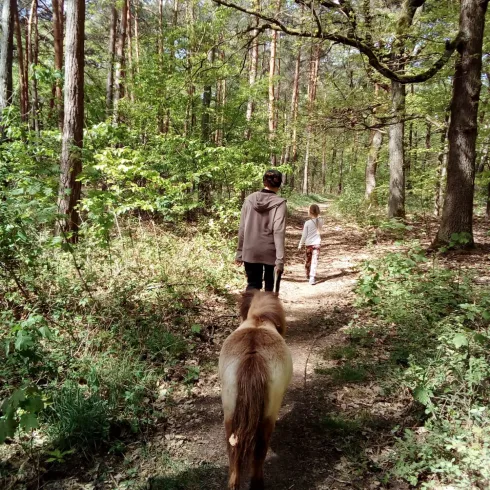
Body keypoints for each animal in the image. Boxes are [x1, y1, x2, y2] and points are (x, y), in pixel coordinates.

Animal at [220, 292, 292, 490]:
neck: (259, 320)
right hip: (267, 417)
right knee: (260, 451)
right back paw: (257, 484)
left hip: (230, 414)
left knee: (233, 451)